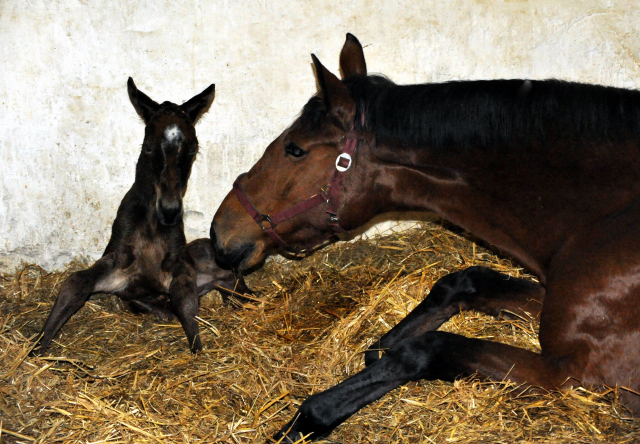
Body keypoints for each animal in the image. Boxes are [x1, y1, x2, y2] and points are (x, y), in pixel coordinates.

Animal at [212, 33, 640, 440]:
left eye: (295, 149)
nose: (220, 232)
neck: (601, 217)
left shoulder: (573, 375)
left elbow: (423, 349)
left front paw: (306, 420)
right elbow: (463, 282)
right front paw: (382, 348)